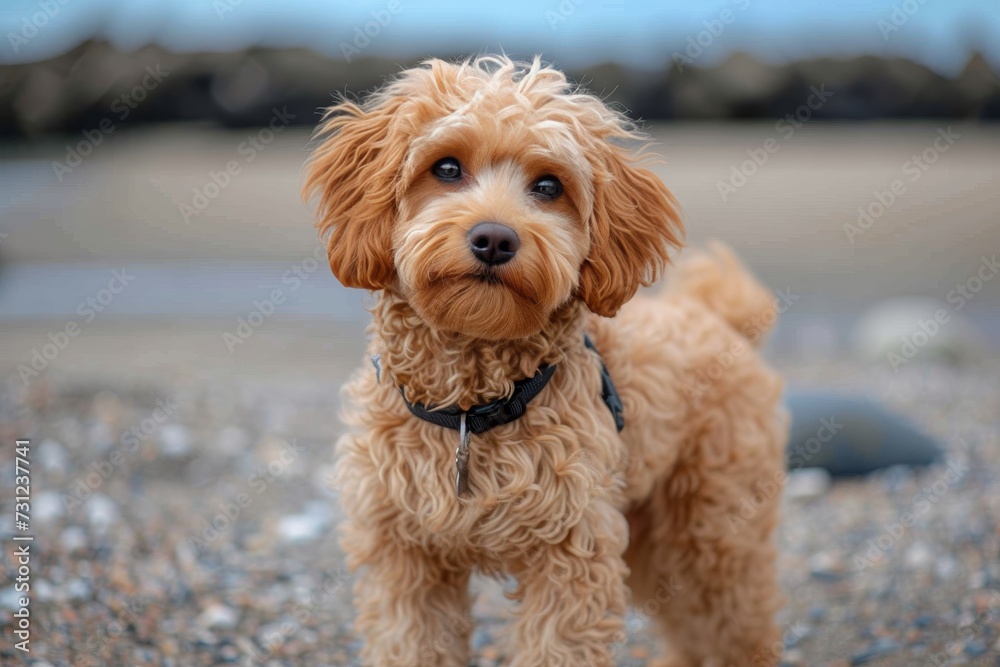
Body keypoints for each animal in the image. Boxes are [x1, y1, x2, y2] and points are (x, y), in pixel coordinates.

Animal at [304, 56, 788, 667]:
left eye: (549, 186)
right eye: (446, 168)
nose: (494, 238)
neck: (473, 410)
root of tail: (718, 316)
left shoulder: (572, 554)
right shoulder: (405, 556)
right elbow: (410, 643)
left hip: (715, 531)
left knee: (734, 626)